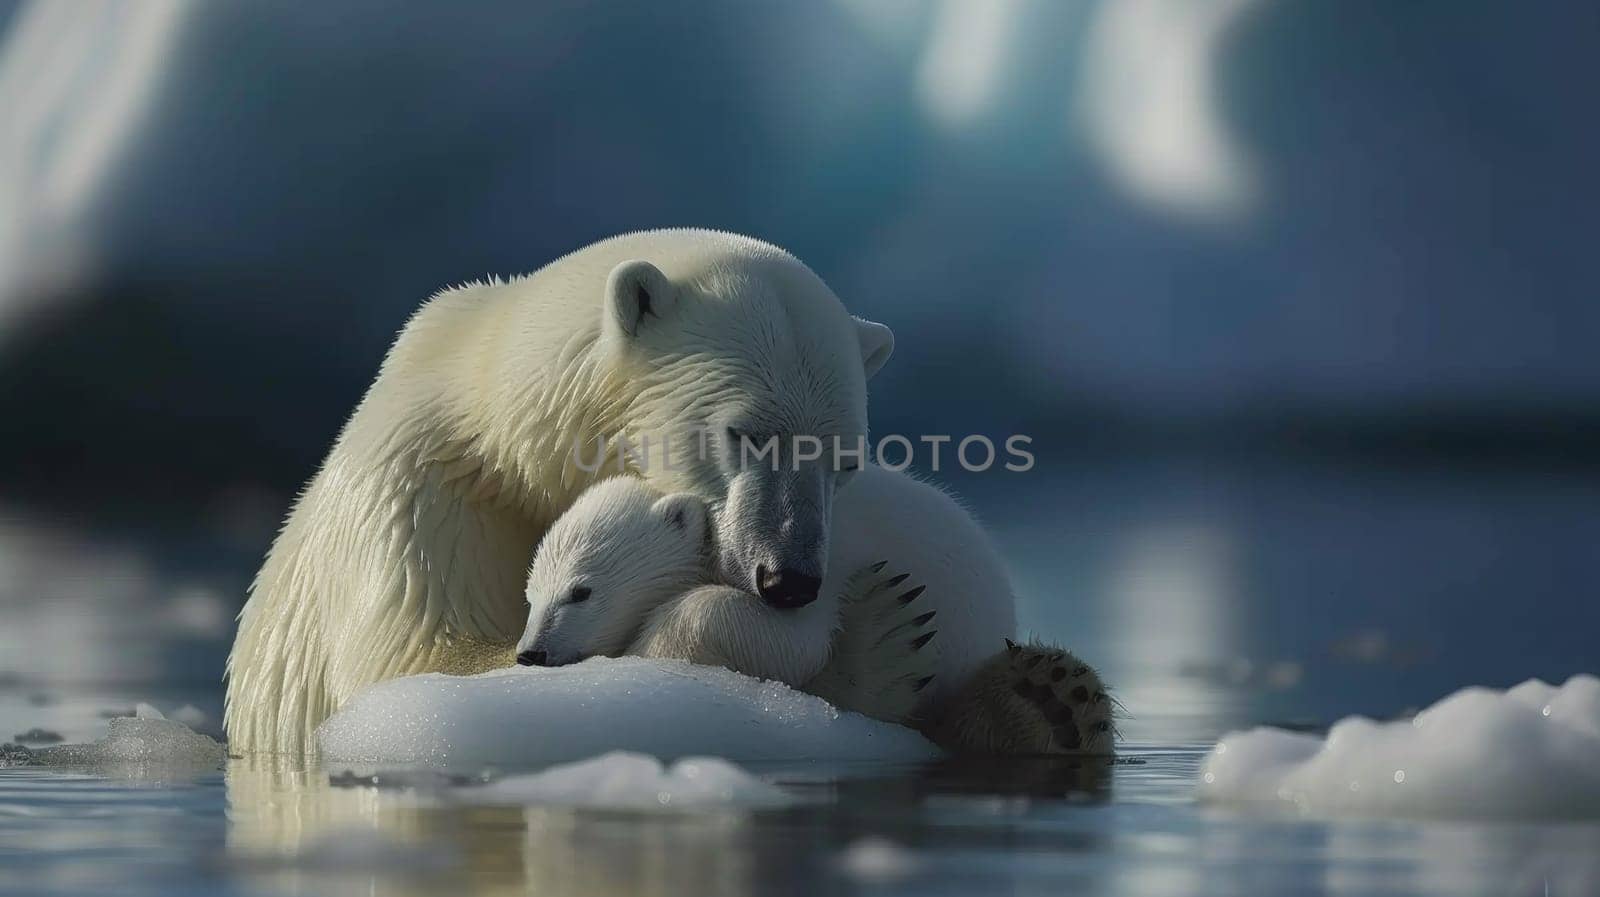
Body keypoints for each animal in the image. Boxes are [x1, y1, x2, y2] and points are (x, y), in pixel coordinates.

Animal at [225, 227, 1011, 751]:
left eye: (845, 459)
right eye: (746, 433)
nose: (788, 578)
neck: (504, 425)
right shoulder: (420, 496)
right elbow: (423, 670)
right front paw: (875, 646)